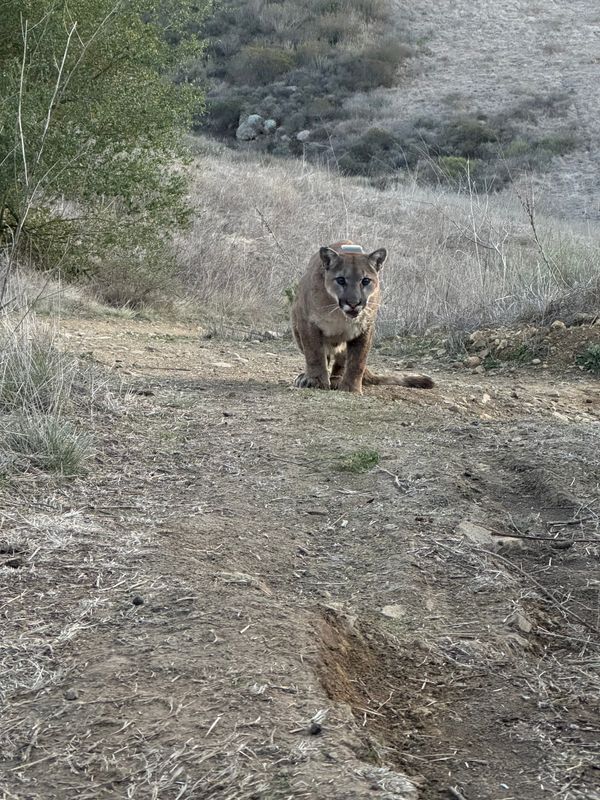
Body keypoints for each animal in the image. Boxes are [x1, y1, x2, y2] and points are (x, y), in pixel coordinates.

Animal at [291, 241, 434, 394]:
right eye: (340, 280)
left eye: (365, 281)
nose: (354, 303)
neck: (339, 314)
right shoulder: (307, 322)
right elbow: (314, 354)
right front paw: (315, 380)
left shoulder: (365, 327)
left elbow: (358, 360)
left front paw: (351, 388)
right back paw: (308, 376)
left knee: (341, 363)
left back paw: (337, 379)